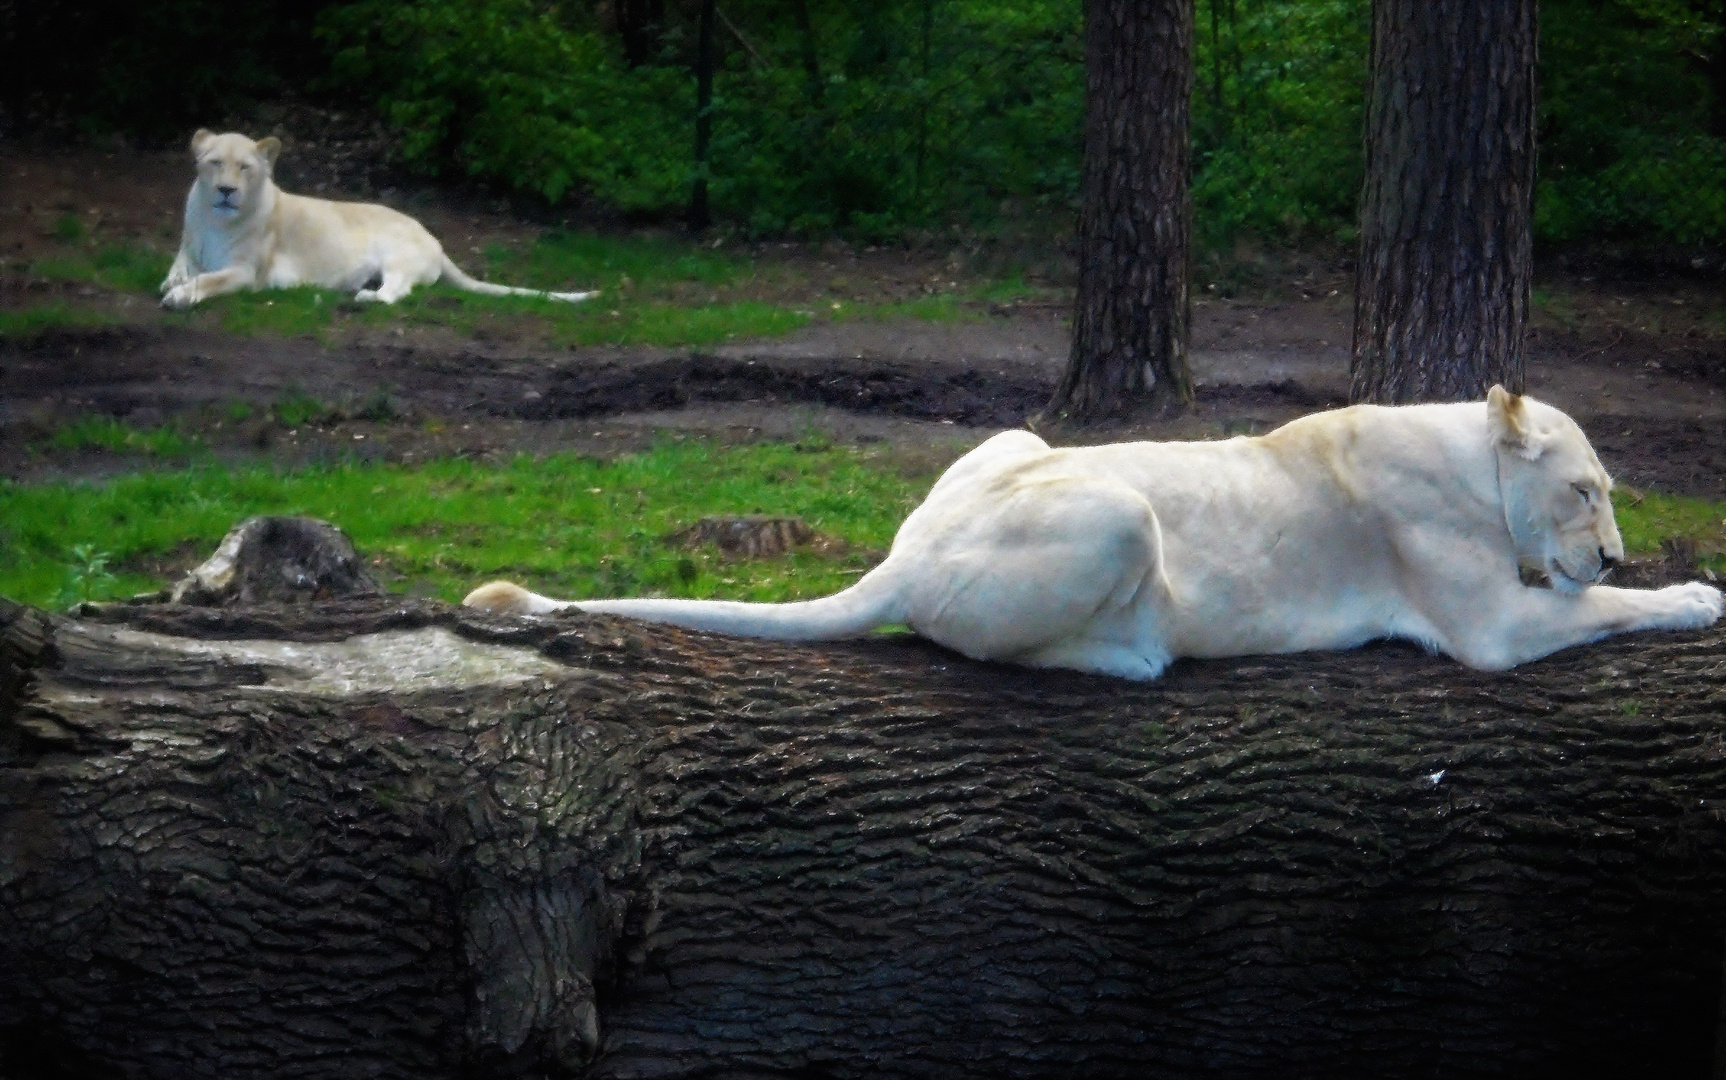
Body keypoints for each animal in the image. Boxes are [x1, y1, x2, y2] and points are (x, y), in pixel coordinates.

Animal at [158, 129, 600, 310]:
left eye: (245, 168)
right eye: (215, 163)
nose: (226, 190)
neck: (215, 221)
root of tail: (436, 241)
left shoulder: (247, 273)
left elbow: (209, 280)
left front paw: (180, 297)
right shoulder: (187, 253)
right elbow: (178, 270)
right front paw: (173, 284)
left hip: (398, 257)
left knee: (397, 292)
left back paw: (365, 297)